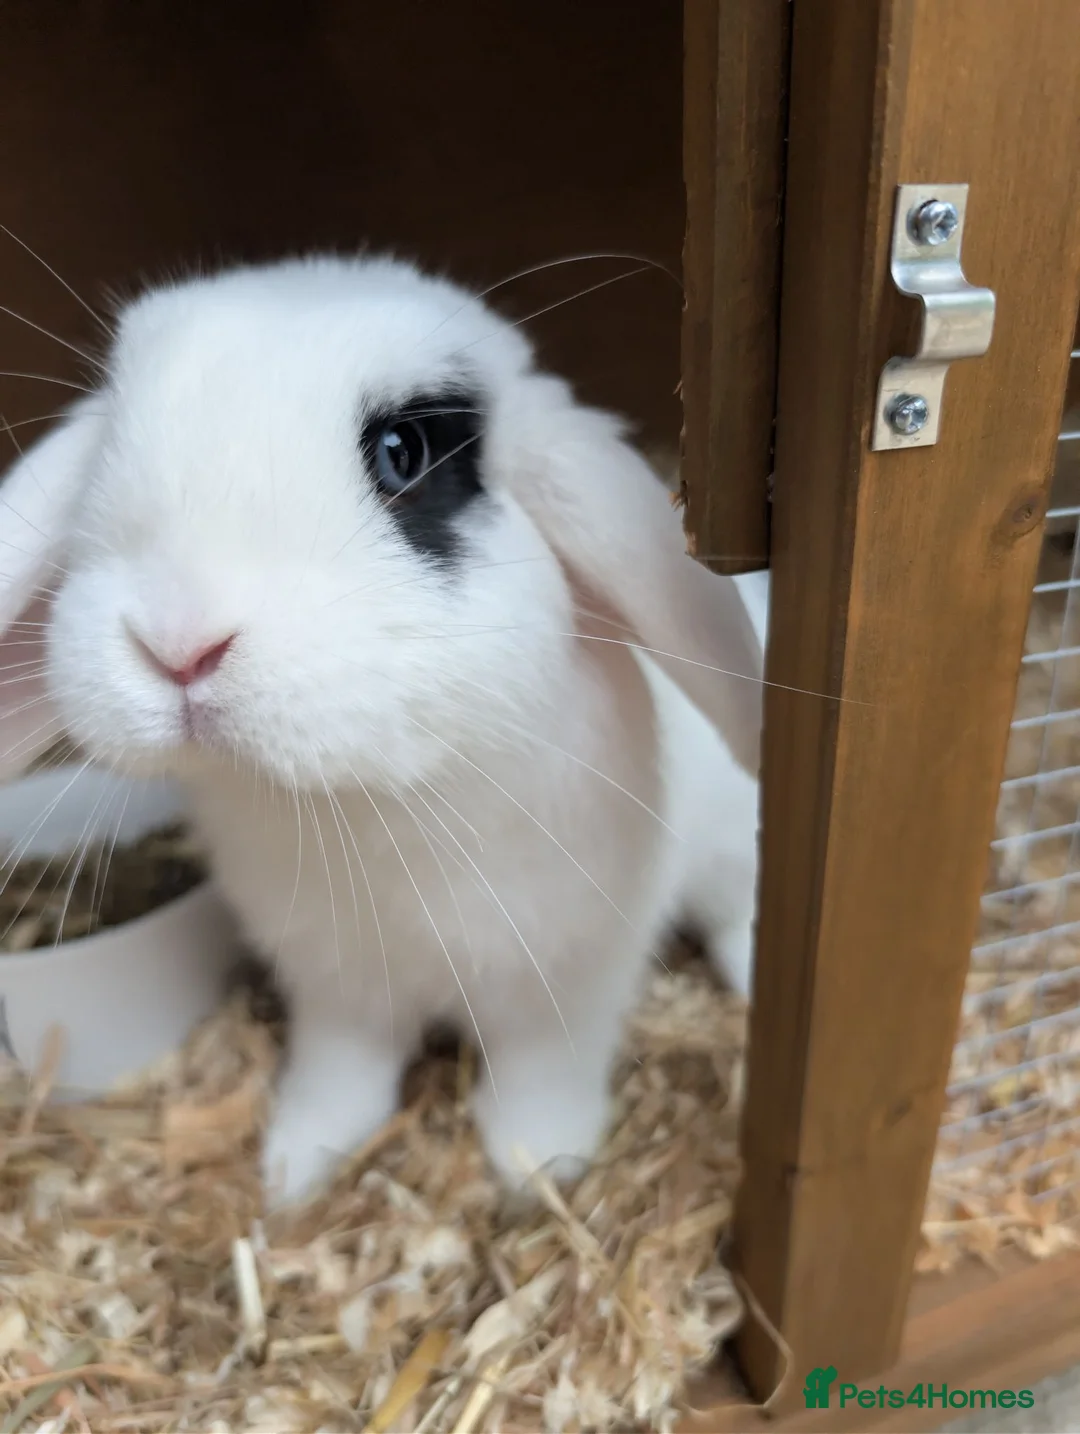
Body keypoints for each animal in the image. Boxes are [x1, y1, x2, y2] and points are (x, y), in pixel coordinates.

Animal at [0, 254, 763, 1205]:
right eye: (109, 447)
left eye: (404, 454)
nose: (179, 646)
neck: (370, 804)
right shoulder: (338, 989)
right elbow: (343, 1073)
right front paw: (294, 1170)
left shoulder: (568, 979)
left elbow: (542, 1070)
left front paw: (536, 1167)